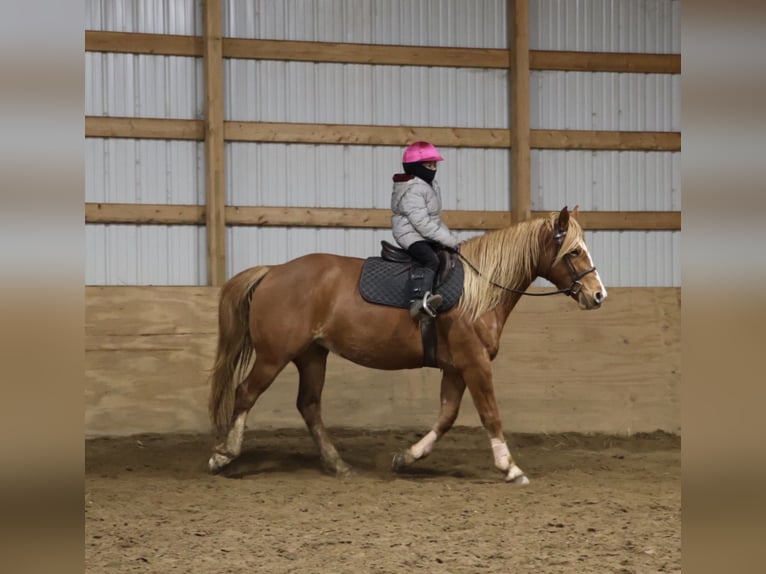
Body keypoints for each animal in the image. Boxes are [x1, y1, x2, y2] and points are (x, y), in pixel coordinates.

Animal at [207, 206, 606, 484]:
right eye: (574, 252)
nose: (598, 295)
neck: (479, 290)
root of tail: (273, 271)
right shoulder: (475, 361)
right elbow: (490, 414)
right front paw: (510, 468)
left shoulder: (456, 367)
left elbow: (447, 416)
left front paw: (407, 456)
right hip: (274, 355)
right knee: (246, 393)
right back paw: (224, 455)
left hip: (311, 355)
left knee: (309, 405)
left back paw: (337, 464)